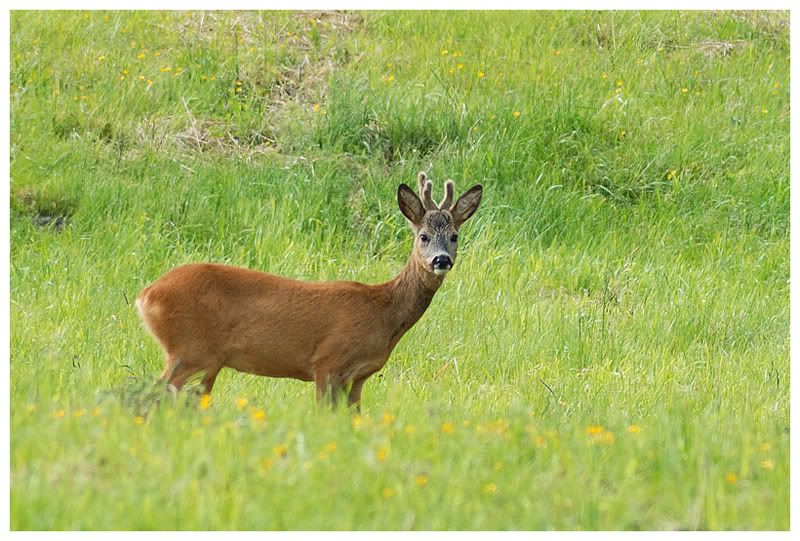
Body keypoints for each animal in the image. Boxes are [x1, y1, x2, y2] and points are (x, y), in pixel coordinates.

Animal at [137, 173, 482, 404]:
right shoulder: (328, 363)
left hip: (202, 360)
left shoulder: (359, 377)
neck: (383, 310)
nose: (441, 260)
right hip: (189, 349)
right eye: (423, 236)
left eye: (454, 236)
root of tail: (147, 295)